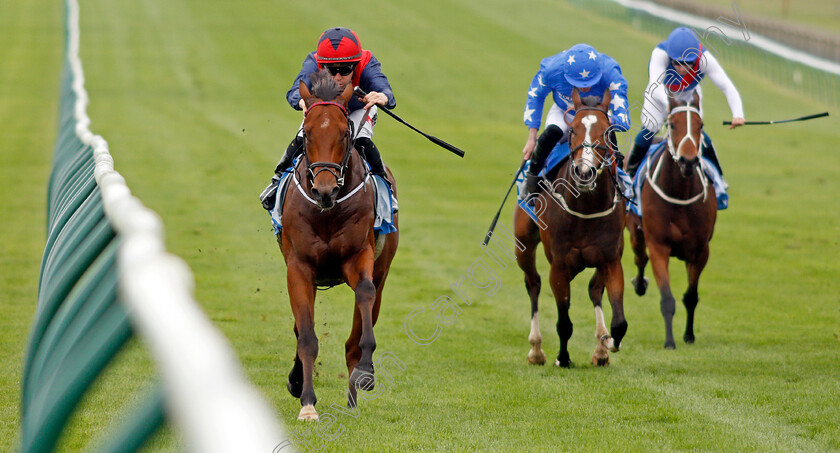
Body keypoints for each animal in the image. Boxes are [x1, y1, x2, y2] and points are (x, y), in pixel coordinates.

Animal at [280, 70, 398, 420]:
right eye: (306, 134)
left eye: (345, 134)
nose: (324, 190)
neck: (327, 213)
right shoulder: (299, 267)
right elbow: (305, 335)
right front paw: (307, 402)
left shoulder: (360, 256)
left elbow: (364, 295)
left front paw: (366, 371)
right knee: (300, 328)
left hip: (383, 270)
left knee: (358, 327)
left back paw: (353, 397)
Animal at [516, 87, 628, 368]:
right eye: (574, 130)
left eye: (606, 131)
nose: (584, 172)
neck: (585, 208)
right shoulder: (559, 266)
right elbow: (564, 322)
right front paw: (563, 358)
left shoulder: (611, 260)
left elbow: (619, 323)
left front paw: (606, 342)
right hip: (523, 244)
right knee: (532, 283)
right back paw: (536, 350)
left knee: (594, 289)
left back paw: (600, 349)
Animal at [628, 90, 720, 348]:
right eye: (672, 124)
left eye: (700, 125)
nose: (688, 161)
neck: (680, 192)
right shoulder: (659, 246)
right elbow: (667, 298)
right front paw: (670, 342)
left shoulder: (700, 251)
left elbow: (691, 296)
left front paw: (689, 335)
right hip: (634, 231)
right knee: (640, 258)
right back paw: (640, 284)